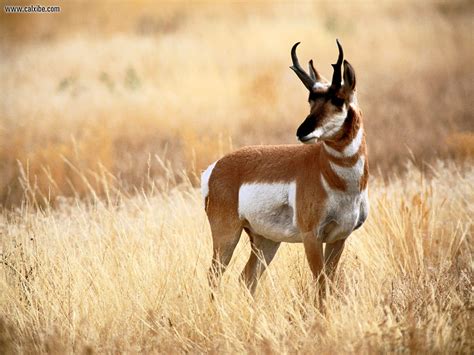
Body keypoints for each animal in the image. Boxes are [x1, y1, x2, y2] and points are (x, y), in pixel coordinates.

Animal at [202, 39, 368, 294]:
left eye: (338, 100)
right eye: (311, 99)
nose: (302, 132)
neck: (334, 177)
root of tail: (215, 168)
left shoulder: (339, 238)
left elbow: (329, 283)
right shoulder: (311, 237)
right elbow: (320, 284)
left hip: (266, 240)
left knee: (247, 278)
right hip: (227, 235)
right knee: (214, 277)